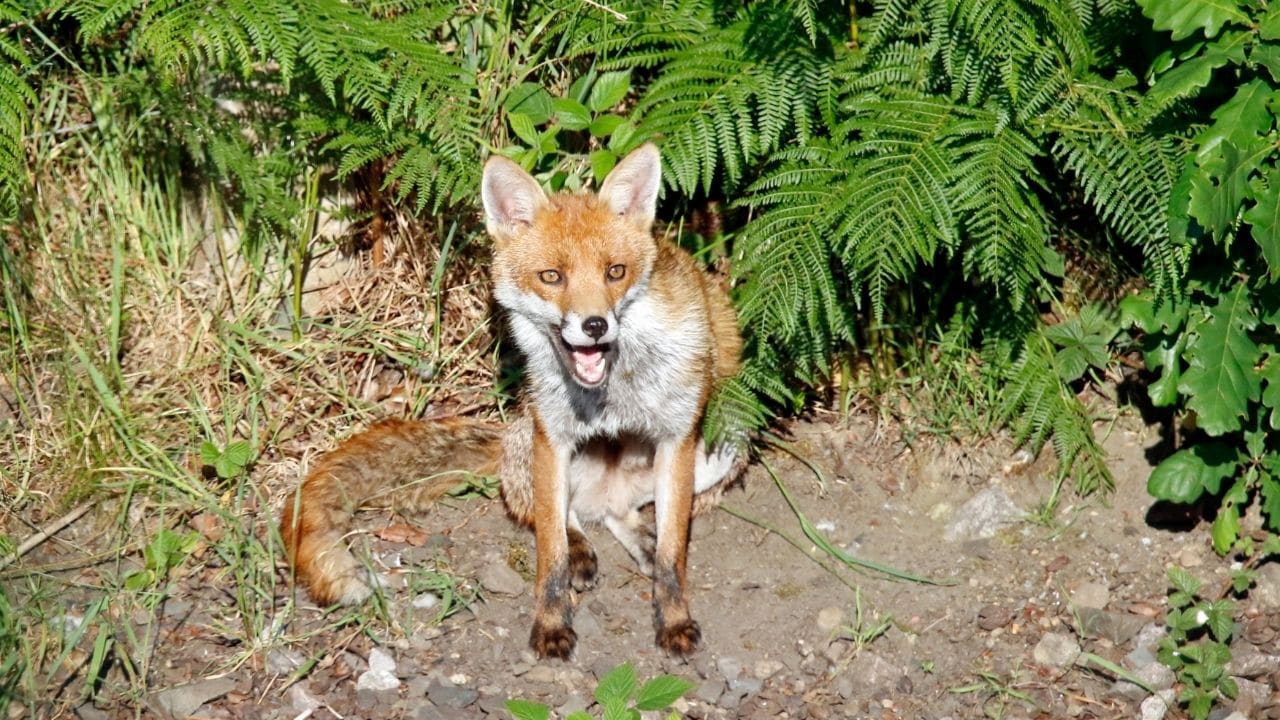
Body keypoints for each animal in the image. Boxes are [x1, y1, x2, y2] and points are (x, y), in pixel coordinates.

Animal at [280, 143, 743, 659]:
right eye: (552, 277)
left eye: (615, 272)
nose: (595, 325)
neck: (615, 391)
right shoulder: (552, 438)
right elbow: (550, 553)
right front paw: (551, 624)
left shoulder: (677, 438)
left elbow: (672, 554)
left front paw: (673, 617)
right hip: (532, 444)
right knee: (556, 515)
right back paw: (581, 547)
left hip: (724, 447)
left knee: (617, 514)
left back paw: (639, 537)